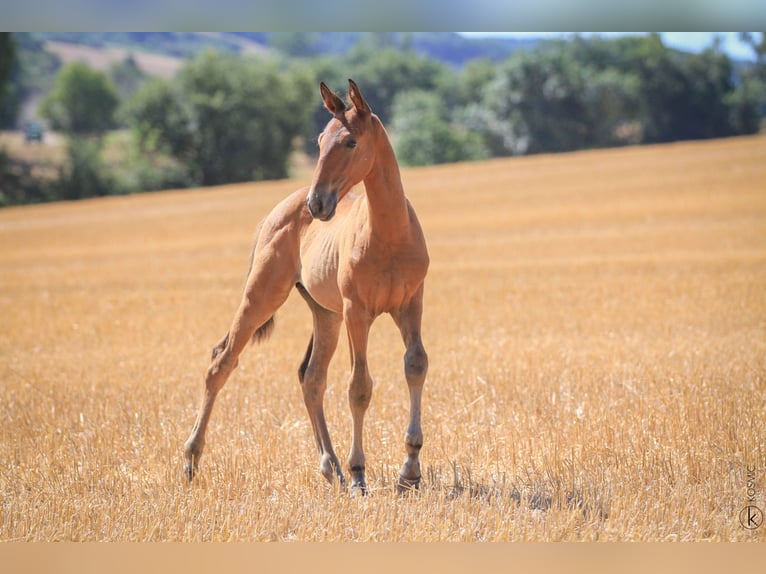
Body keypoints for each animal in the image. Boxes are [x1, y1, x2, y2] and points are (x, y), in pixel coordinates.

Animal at [183, 80, 428, 496]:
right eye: (319, 141)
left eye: (349, 141)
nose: (318, 203)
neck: (390, 235)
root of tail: (275, 212)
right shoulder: (357, 312)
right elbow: (359, 386)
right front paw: (360, 474)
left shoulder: (410, 305)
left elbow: (415, 365)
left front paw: (409, 469)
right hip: (263, 295)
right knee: (221, 361)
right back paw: (191, 460)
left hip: (325, 314)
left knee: (311, 377)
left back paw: (331, 467)